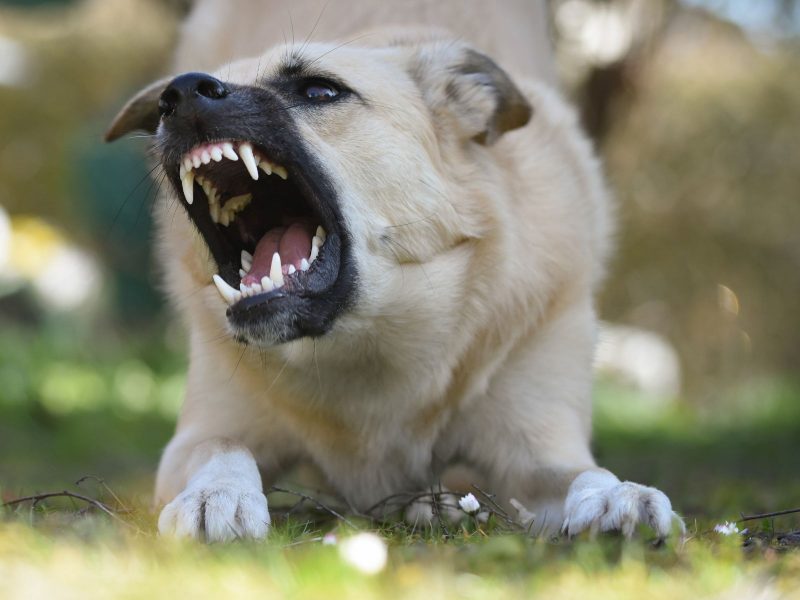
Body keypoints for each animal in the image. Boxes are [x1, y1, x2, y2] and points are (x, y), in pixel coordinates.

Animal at [108, 4, 680, 540]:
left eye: (319, 90)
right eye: (169, 103)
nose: (180, 94)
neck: (365, 343)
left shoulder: (537, 446)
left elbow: (582, 472)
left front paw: (617, 496)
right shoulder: (202, 432)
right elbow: (223, 447)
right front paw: (217, 496)